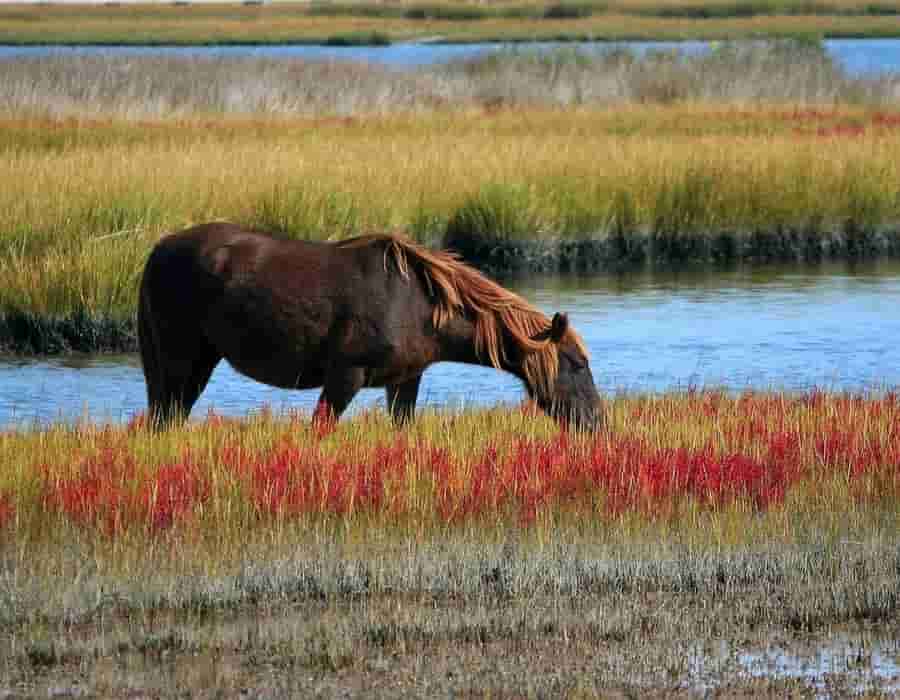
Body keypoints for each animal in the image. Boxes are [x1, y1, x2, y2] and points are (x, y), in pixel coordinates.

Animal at [139, 221, 604, 430]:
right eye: (577, 364)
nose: (597, 423)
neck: (423, 307)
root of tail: (157, 251)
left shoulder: (404, 379)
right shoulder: (345, 375)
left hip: (196, 363)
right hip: (180, 360)